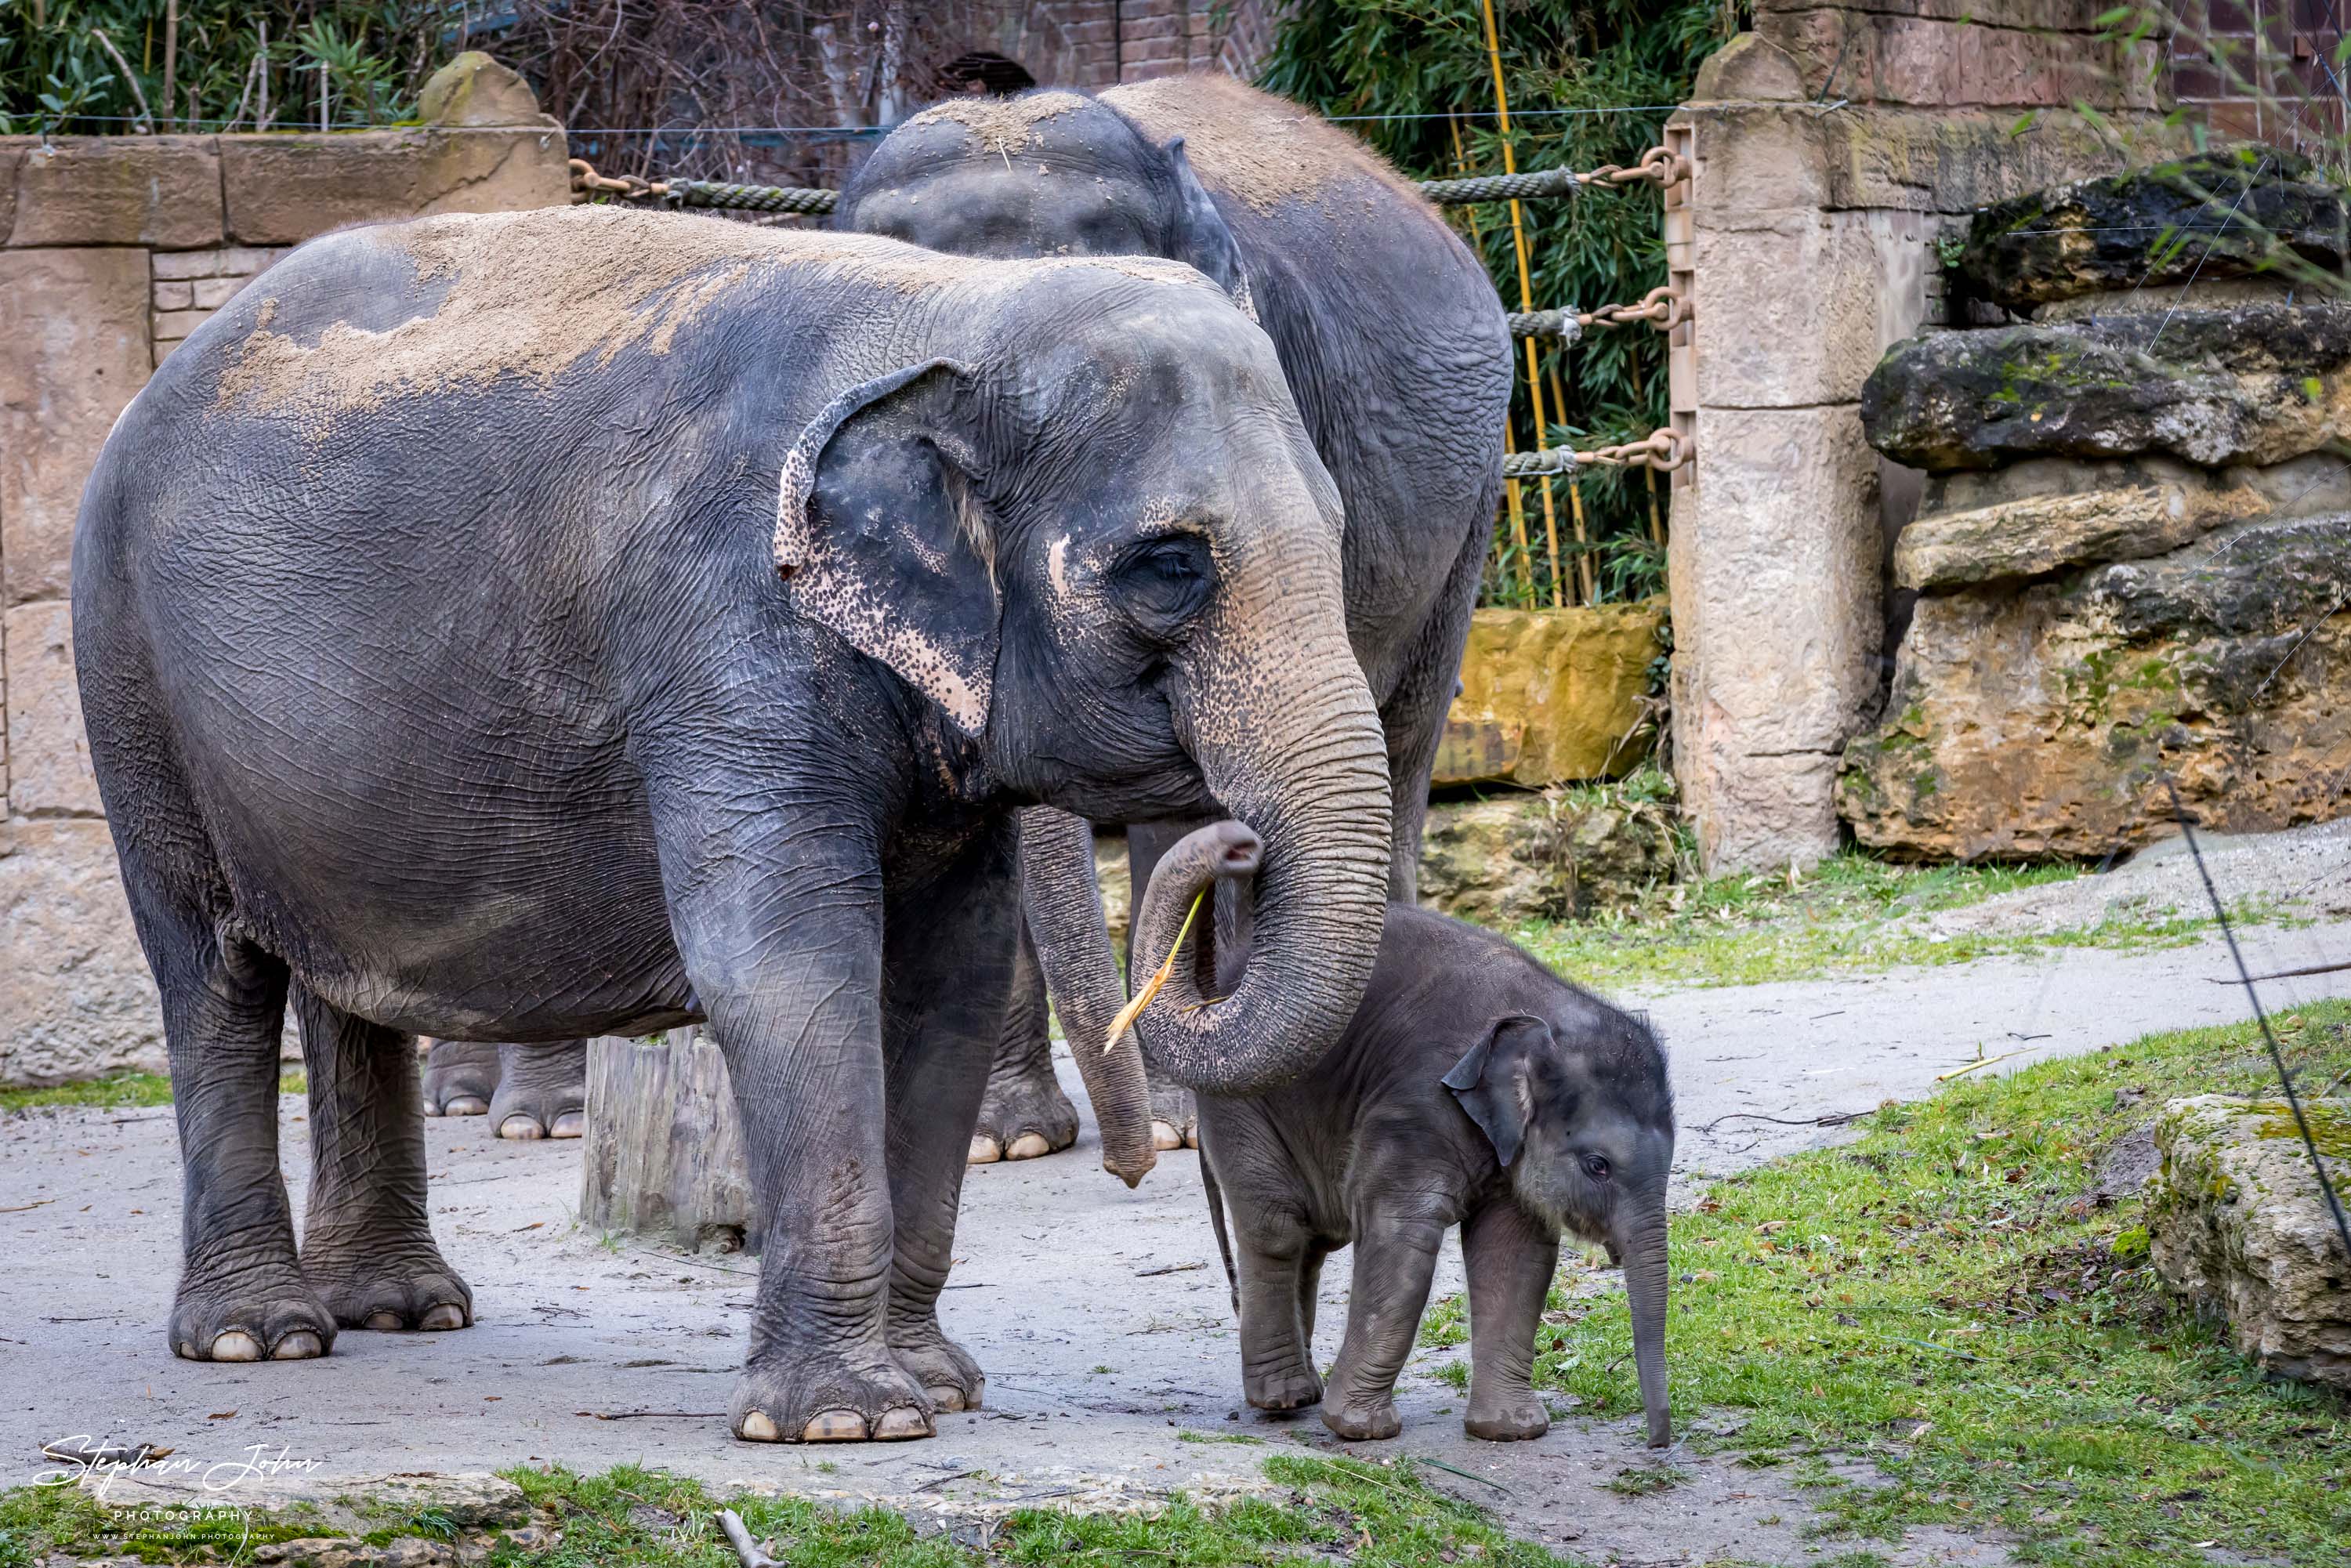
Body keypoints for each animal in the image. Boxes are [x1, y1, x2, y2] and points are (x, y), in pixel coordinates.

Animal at [73, 205, 1382, 1448]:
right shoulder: (729, 635)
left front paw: (937, 1389)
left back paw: (400, 1310)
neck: (953, 314)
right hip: (129, 681)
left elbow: (950, 973)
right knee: (214, 972)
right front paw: (846, 1421)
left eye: (1338, 535)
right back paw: (258, 1337)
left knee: (345, 984)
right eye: (1169, 568)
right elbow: (789, 961)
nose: (1235, 842)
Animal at [1133, 823, 1674, 1448]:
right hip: (1239, 1098)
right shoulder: (1414, 1107)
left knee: (1312, 1239)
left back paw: (1301, 1393)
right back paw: (1283, 1398)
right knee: (1276, 1227)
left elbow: (1517, 1250)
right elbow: (1400, 1237)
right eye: (1598, 1165)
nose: (1656, 1442)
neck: (1544, 1018)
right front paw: (1360, 1430)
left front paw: (1511, 1432)